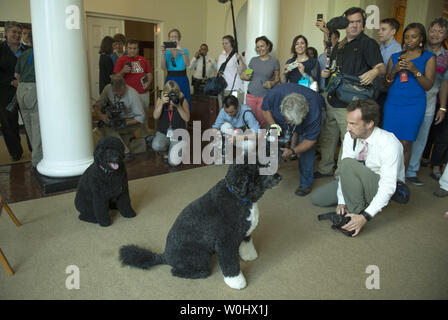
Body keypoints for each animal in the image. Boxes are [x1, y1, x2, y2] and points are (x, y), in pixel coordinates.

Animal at [119, 162, 280, 290]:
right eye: (261, 167)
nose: (279, 177)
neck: (238, 197)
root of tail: (165, 256)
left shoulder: (244, 233)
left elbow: (246, 245)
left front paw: (249, 256)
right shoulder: (225, 243)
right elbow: (231, 265)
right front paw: (237, 282)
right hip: (199, 257)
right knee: (176, 271)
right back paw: (200, 273)